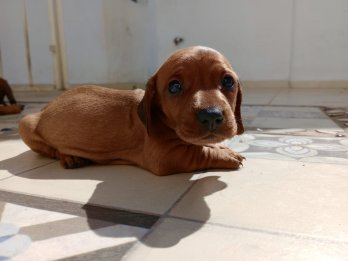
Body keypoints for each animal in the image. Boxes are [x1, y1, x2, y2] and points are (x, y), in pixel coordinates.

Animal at [19, 46, 245, 175]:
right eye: (174, 87)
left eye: (228, 81)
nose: (212, 116)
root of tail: (46, 106)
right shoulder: (166, 157)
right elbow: (201, 151)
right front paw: (226, 156)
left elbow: (205, 144)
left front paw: (224, 148)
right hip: (25, 123)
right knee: (51, 150)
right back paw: (70, 157)